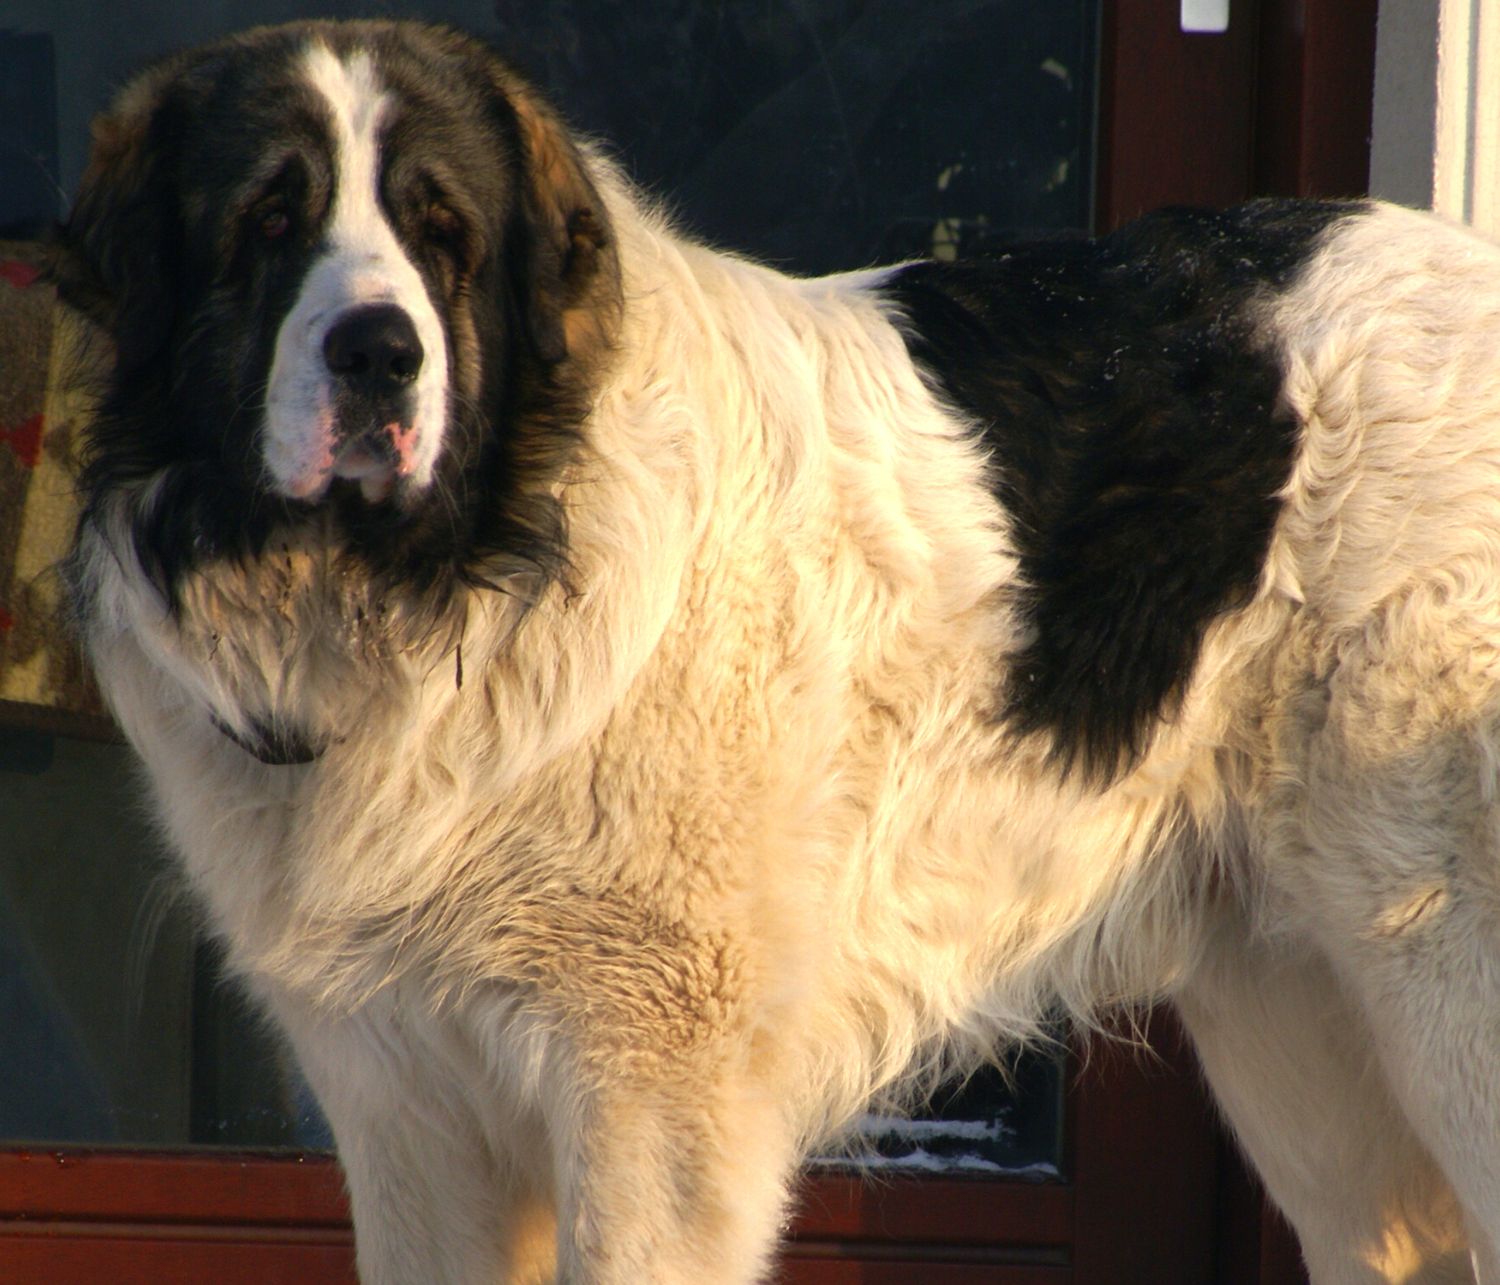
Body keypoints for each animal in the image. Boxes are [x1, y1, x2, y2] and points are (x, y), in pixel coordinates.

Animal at [58, 20, 1500, 1283]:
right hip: (1301, 1028)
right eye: (268, 223)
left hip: (1436, 975)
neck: (451, 591)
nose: (378, 353)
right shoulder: (409, 1106)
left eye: (443, 235)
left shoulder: (650, 1096)